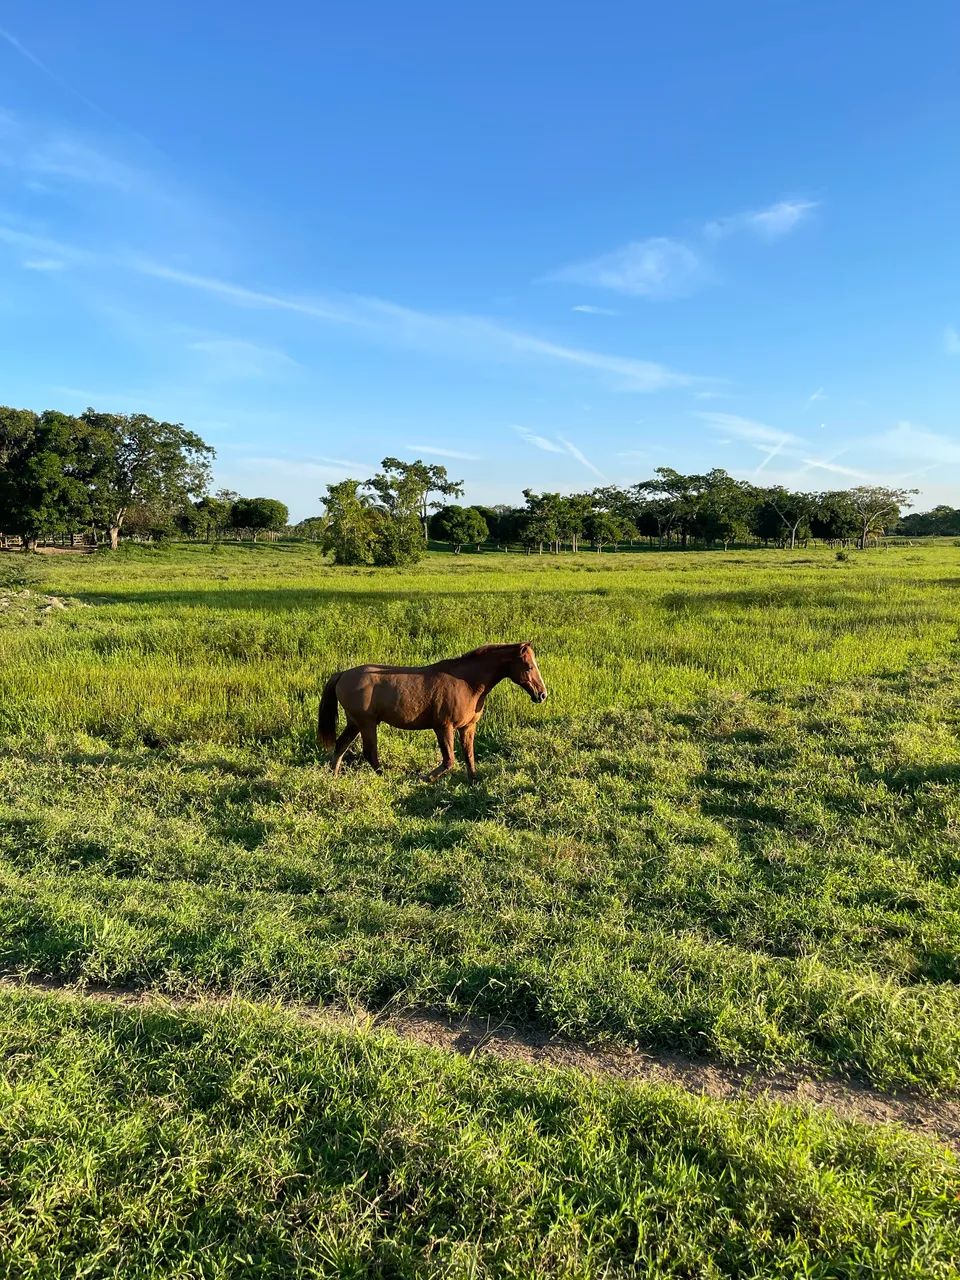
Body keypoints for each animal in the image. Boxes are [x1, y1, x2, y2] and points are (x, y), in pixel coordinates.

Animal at [317, 642, 548, 781]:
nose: (542, 695)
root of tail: (343, 674)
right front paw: (425, 778)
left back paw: (333, 776)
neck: (467, 683)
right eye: (528, 667)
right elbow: (449, 761)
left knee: (341, 746)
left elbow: (469, 756)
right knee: (369, 753)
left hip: (355, 723)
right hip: (367, 723)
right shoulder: (443, 727)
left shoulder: (467, 727)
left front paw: (473, 782)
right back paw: (386, 777)